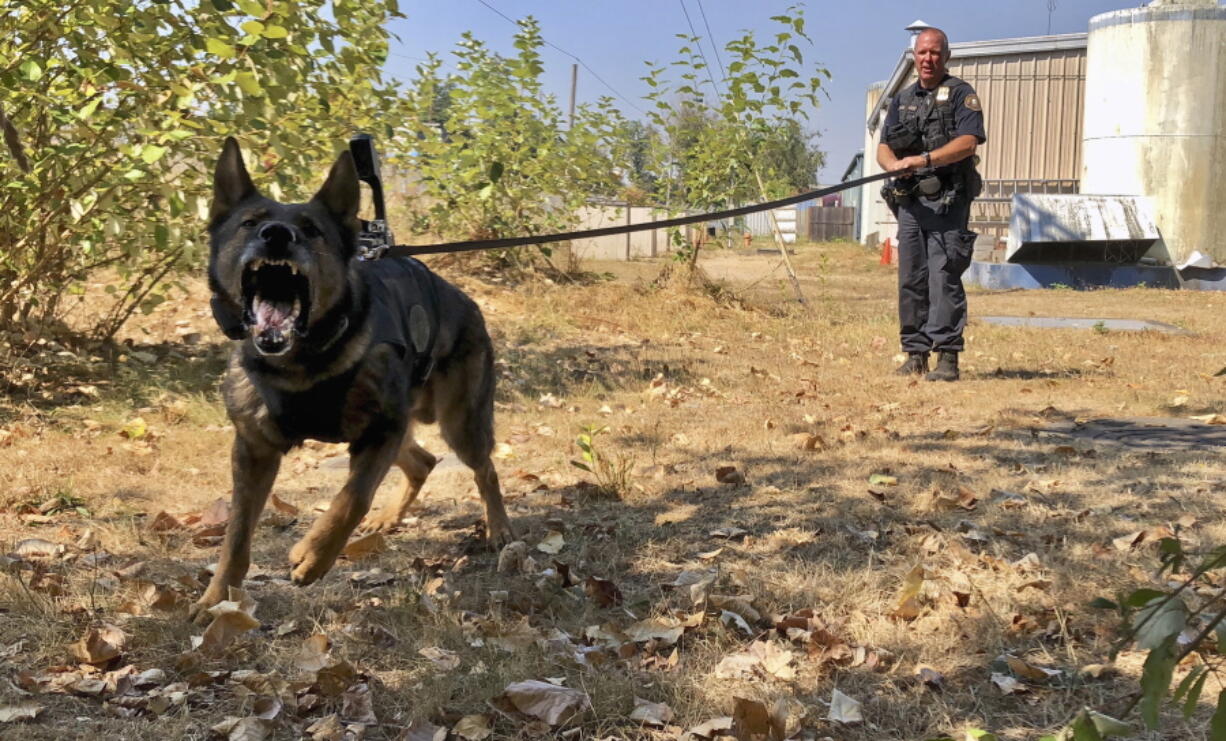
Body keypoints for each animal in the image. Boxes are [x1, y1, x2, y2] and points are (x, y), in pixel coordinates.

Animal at [190, 137, 512, 618]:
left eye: (311, 229)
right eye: (250, 224)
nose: (276, 235)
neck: (304, 364)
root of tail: (465, 299)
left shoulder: (380, 430)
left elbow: (352, 498)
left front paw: (314, 554)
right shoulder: (254, 450)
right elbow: (236, 535)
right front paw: (217, 598)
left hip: (458, 423)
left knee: (484, 469)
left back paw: (499, 527)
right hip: (402, 429)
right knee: (423, 462)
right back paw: (389, 518)